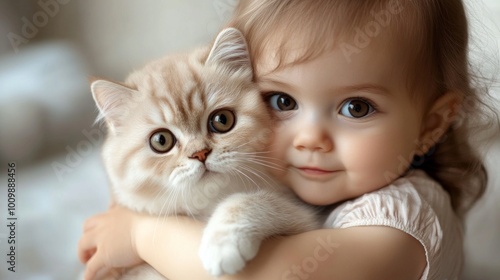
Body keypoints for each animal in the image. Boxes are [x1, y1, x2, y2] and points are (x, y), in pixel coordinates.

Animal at [89, 27, 320, 278]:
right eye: (161, 141)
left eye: (222, 120)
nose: (200, 154)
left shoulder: (306, 220)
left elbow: (251, 199)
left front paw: (222, 245)